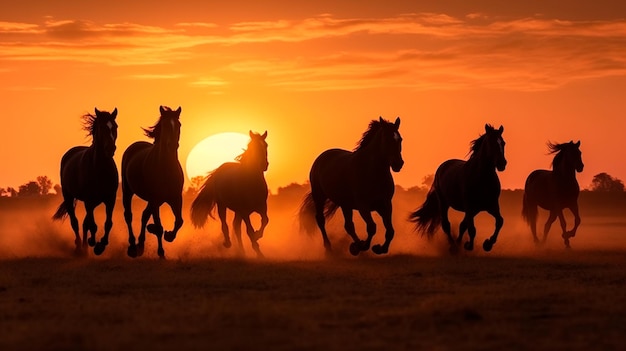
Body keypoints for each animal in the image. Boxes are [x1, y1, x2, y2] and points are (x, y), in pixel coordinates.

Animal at [51, 107, 119, 256]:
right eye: (101, 127)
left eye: (115, 126)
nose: (110, 149)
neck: (100, 169)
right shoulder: (88, 200)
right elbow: (92, 225)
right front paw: (94, 243)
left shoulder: (110, 199)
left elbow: (108, 223)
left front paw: (101, 244)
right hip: (70, 197)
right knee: (75, 222)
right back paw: (79, 247)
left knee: (84, 223)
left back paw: (85, 247)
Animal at [120, 105, 183, 258]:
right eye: (165, 125)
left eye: (178, 124)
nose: (172, 145)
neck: (166, 168)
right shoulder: (155, 199)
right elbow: (159, 226)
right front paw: (161, 252)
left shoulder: (176, 198)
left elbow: (179, 221)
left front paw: (169, 235)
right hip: (128, 191)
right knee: (129, 216)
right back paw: (133, 247)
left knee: (144, 215)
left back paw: (141, 244)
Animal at [190, 131, 268, 260]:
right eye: (253, 147)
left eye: (266, 145)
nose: (264, 165)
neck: (252, 183)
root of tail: (219, 170)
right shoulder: (245, 211)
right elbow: (249, 230)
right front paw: (258, 251)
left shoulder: (262, 207)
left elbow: (265, 221)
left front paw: (258, 236)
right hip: (223, 206)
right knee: (226, 225)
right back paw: (228, 244)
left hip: (238, 211)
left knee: (236, 227)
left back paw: (242, 252)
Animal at [298, 117, 404, 258]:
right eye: (386, 139)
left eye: (400, 139)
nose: (398, 164)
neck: (372, 172)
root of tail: (321, 158)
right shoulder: (363, 206)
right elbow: (372, 227)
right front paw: (363, 246)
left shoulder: (385, 205)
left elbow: (390, 230)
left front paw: (379, 248)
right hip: (319, 197)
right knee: (321, 220)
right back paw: (330, 248)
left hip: (345, 205)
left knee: (348, 226)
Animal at [410, 125, 508, 254]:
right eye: (491, 142)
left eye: (503, 143)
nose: (502, 164)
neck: (483, 179)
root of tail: (443, 166)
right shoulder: (470, 207)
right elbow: (472, 229)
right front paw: (468, 246)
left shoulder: (491, 206)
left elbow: (499, 221)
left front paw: (488, 244)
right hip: (444, 203)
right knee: (446, 225)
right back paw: (453, 246)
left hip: (474, 210)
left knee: (462, 225)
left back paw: (458, 243)